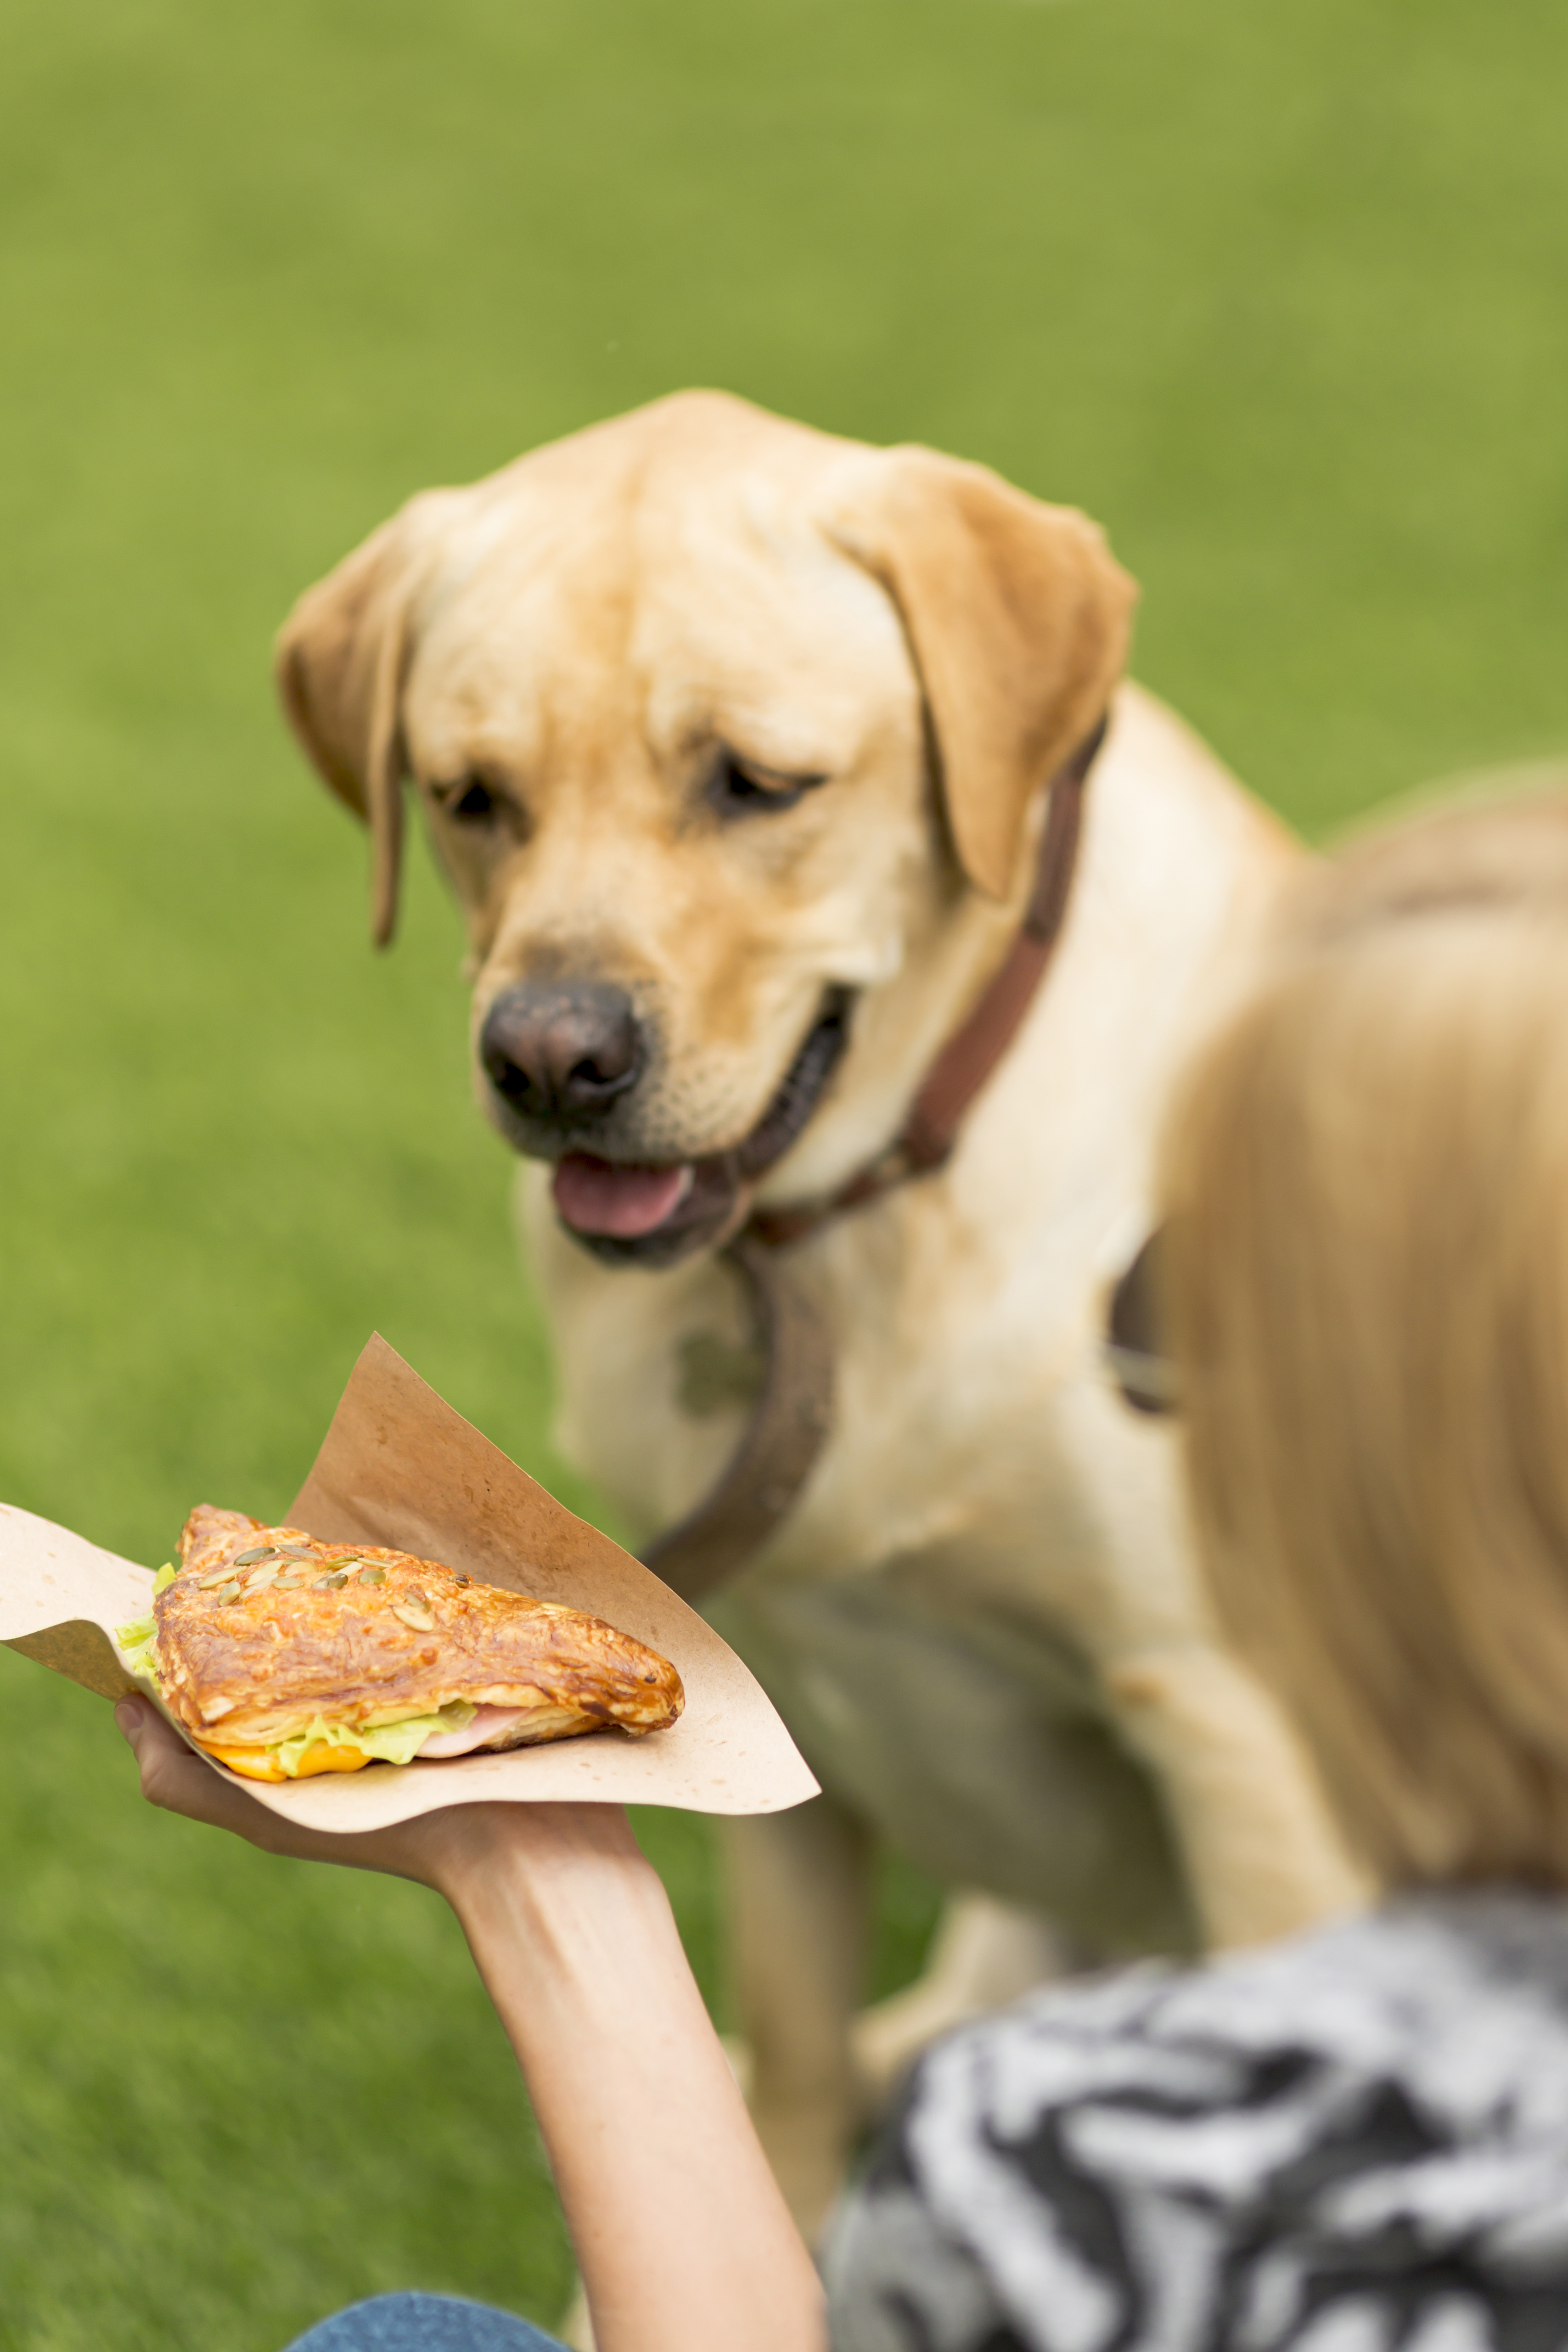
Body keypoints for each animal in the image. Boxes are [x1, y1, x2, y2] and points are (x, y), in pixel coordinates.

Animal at [278, 395, 1363, 2229]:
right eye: (469, 797)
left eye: (755, 782)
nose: (549, 1056)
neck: (843, 1231)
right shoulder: (759, 1679)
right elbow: (785, 2063)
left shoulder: (1243, 1739)